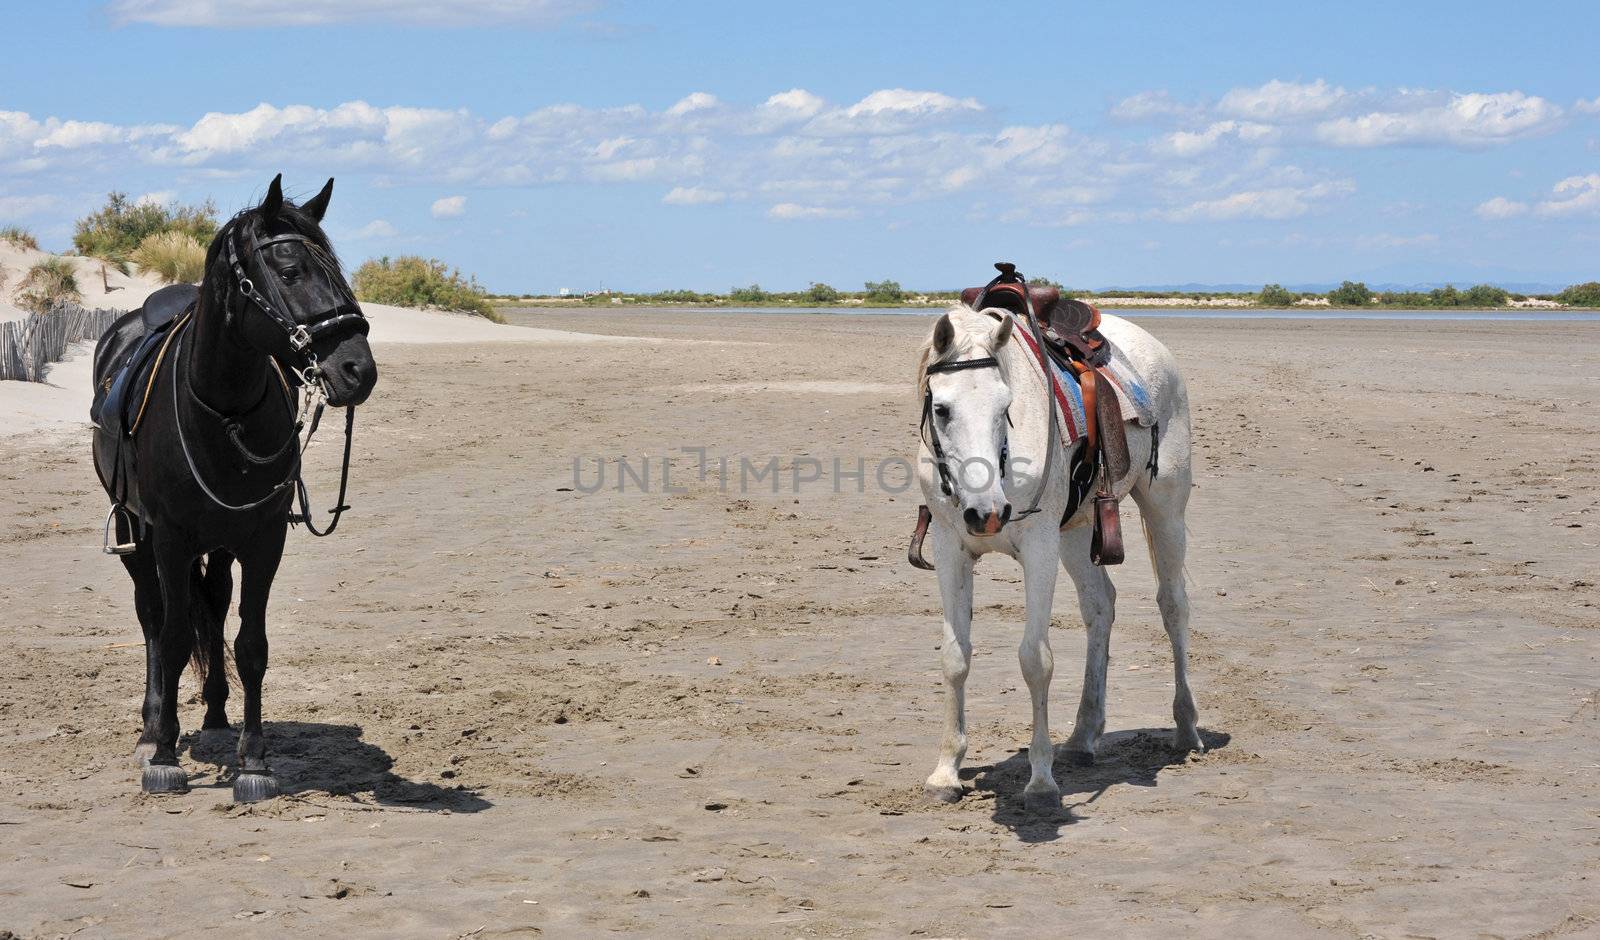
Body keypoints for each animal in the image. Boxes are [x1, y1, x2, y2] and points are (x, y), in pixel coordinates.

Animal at [92, 172, 377, 796]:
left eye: (339, 270)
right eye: (291, 272)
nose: (358, 370)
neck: (224, 413)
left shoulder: (264, 539)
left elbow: (251, 645)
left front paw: (253, 759)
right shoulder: (170, 540)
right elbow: (174, 638)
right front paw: (165, 754)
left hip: (221, 543)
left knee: (217, 604)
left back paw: (218, 714)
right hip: (137, 532)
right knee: (152, 618)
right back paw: (152, 728)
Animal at [915, 305, 1203, 812]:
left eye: (1005, 407)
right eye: (942, 409)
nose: (987, 512)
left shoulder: (1039, 544)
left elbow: (1036, 659)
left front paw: (1041, 782)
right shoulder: (950, 546)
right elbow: (954, 656)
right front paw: (946, 772)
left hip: (1164, 508)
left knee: (1173, 605)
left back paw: (1186, 728)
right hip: (1079, 529)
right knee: (1100, 606)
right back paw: (1083, 736)